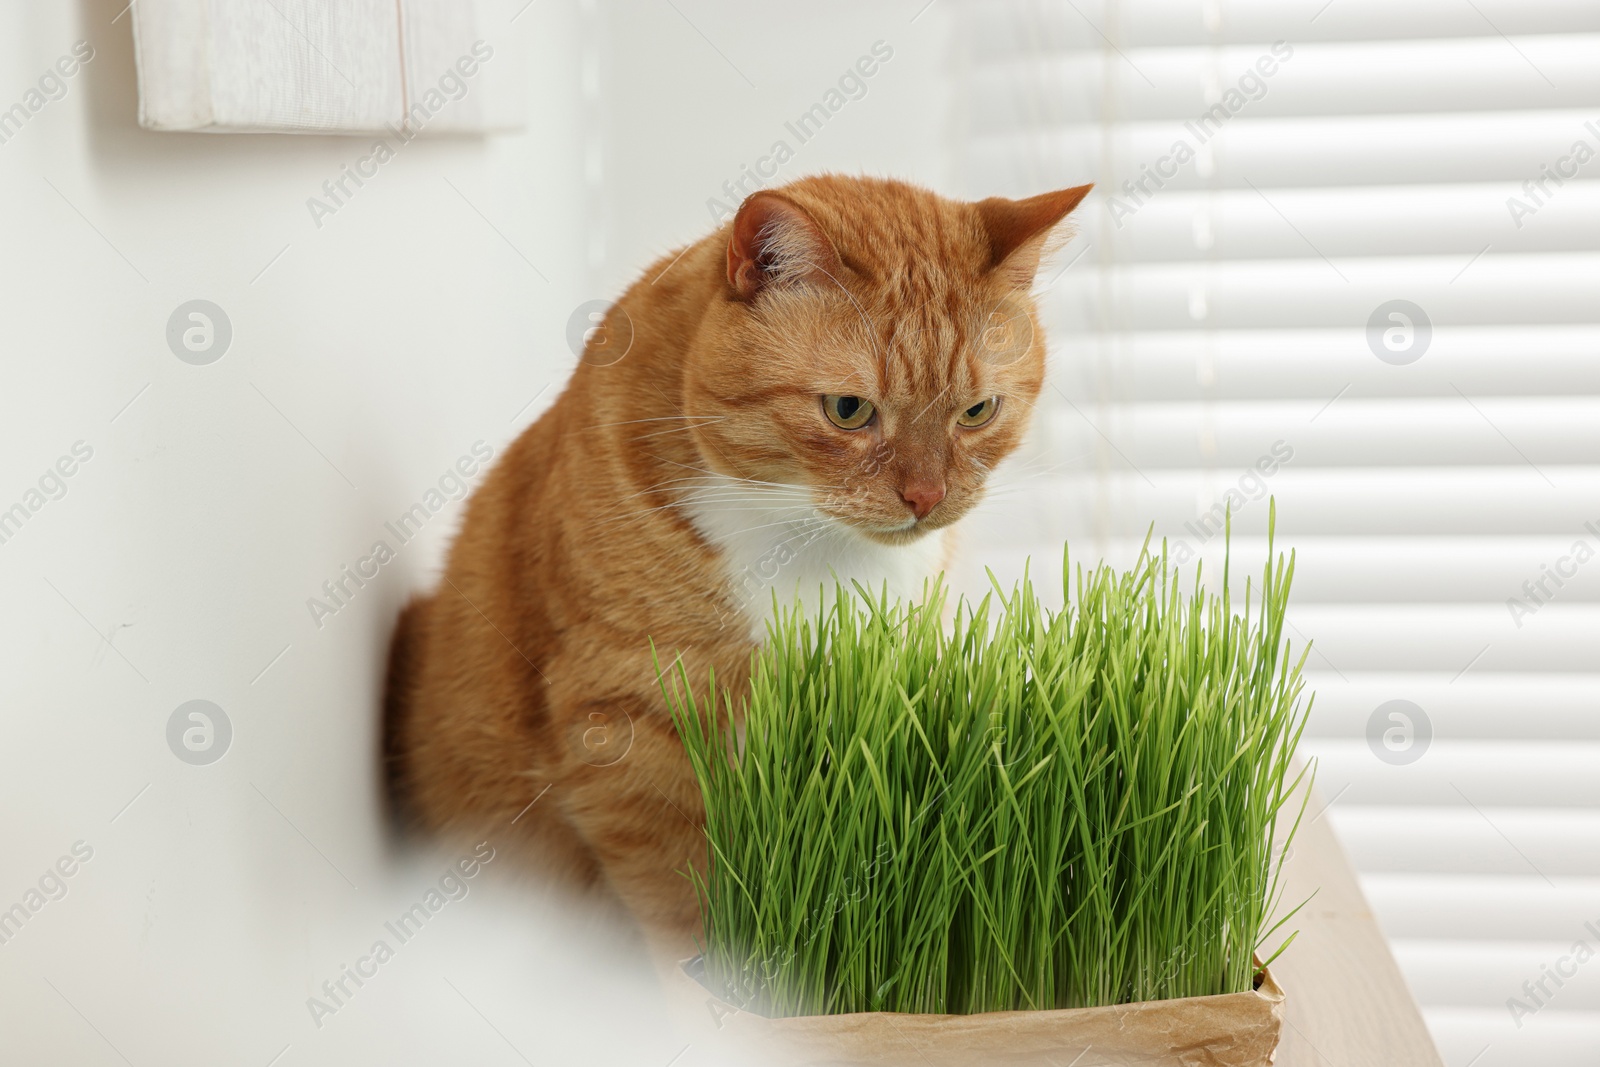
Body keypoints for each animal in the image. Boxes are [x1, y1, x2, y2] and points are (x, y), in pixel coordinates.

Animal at [380, 177, 1094, 959]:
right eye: (848, 409)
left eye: (977, 411)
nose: (926, 497)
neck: (814, 545)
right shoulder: (626, 722)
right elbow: (682, 909)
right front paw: (722, 986)